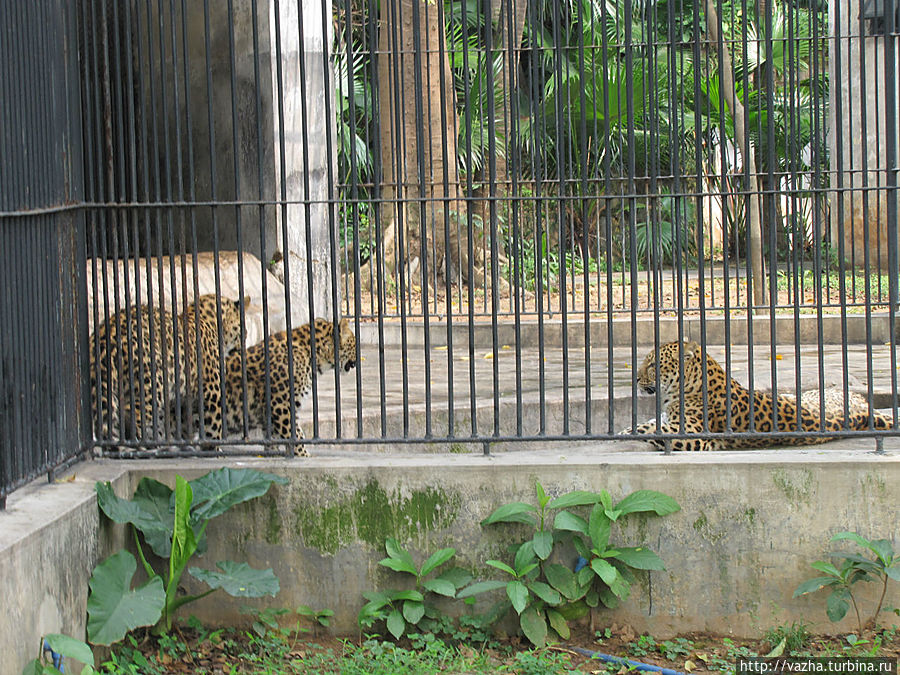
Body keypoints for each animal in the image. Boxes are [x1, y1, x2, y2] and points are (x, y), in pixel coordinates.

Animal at [90, 294, 248, 444]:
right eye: (244, 332)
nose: (243, 347)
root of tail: (107, 340)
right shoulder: (212, 392)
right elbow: (213, 427)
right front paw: (212, 446)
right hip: (150, 385)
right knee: (132, 417)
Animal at [616, 340, 888, 452]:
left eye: (653, 365)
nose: (636, 379)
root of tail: (866, 410)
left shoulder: (695, 436)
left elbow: (647, 430)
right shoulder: (666, 420)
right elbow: (643, 425)